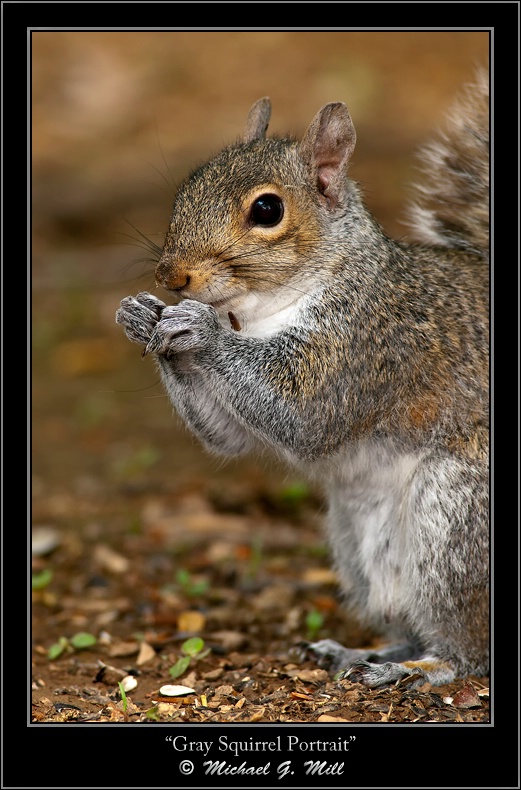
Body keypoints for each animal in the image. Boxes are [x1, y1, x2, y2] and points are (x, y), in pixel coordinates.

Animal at [117, 66, 488, 688]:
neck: (259, 312)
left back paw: (422, 667)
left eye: (267, 211)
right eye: (189, 185)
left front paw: (200, 327)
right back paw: (363, 652)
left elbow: (301, 415)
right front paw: (143, 317)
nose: (171, 276)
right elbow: (229, 436)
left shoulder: (366, 345)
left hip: (457, 522)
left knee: (470, 649)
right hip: (354, 540)